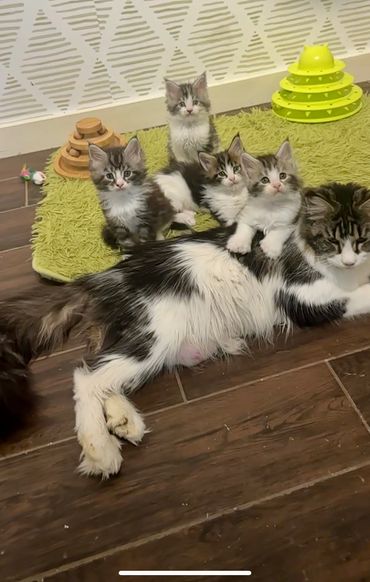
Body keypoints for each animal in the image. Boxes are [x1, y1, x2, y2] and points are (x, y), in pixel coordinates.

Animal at [2, 185, 370, 476]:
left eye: (363, 240)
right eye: (334, 241)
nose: (350, 261)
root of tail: (103, 277)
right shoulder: (301, 297)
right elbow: (356, 296)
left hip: (146, 345)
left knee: (102, 372)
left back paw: (124, 421)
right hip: (153, 335)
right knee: (86, 378)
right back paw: (100, 450)